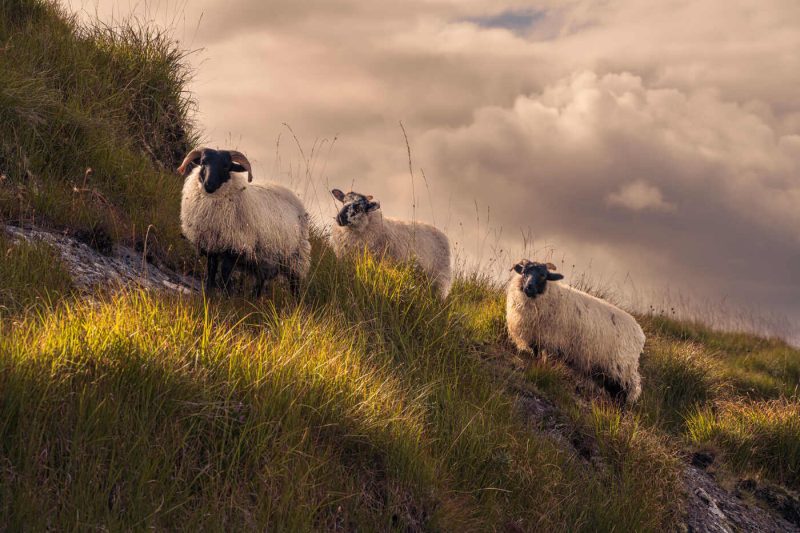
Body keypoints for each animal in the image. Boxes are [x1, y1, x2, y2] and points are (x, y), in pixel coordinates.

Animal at [177, 145, 310, 296]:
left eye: (226, 166)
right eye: (203, 162)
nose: (209, 185)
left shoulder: (235, 245)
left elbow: (225, 273)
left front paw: (224, 296)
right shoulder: (212, 244)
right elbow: (211, 270)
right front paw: (209, 293)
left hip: (296, 258)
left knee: (295, 285)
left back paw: (295, 301)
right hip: (265, 260)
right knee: (260, 283)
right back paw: (254, 299)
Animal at [510, 258, 648, 404]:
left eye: (543, 275)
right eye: (524, 272)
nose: (529, 287)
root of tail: (639, 333)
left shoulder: (552, 340)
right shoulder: (536, 336)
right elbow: (536, 353)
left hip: (621, 368)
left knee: (625, 390)